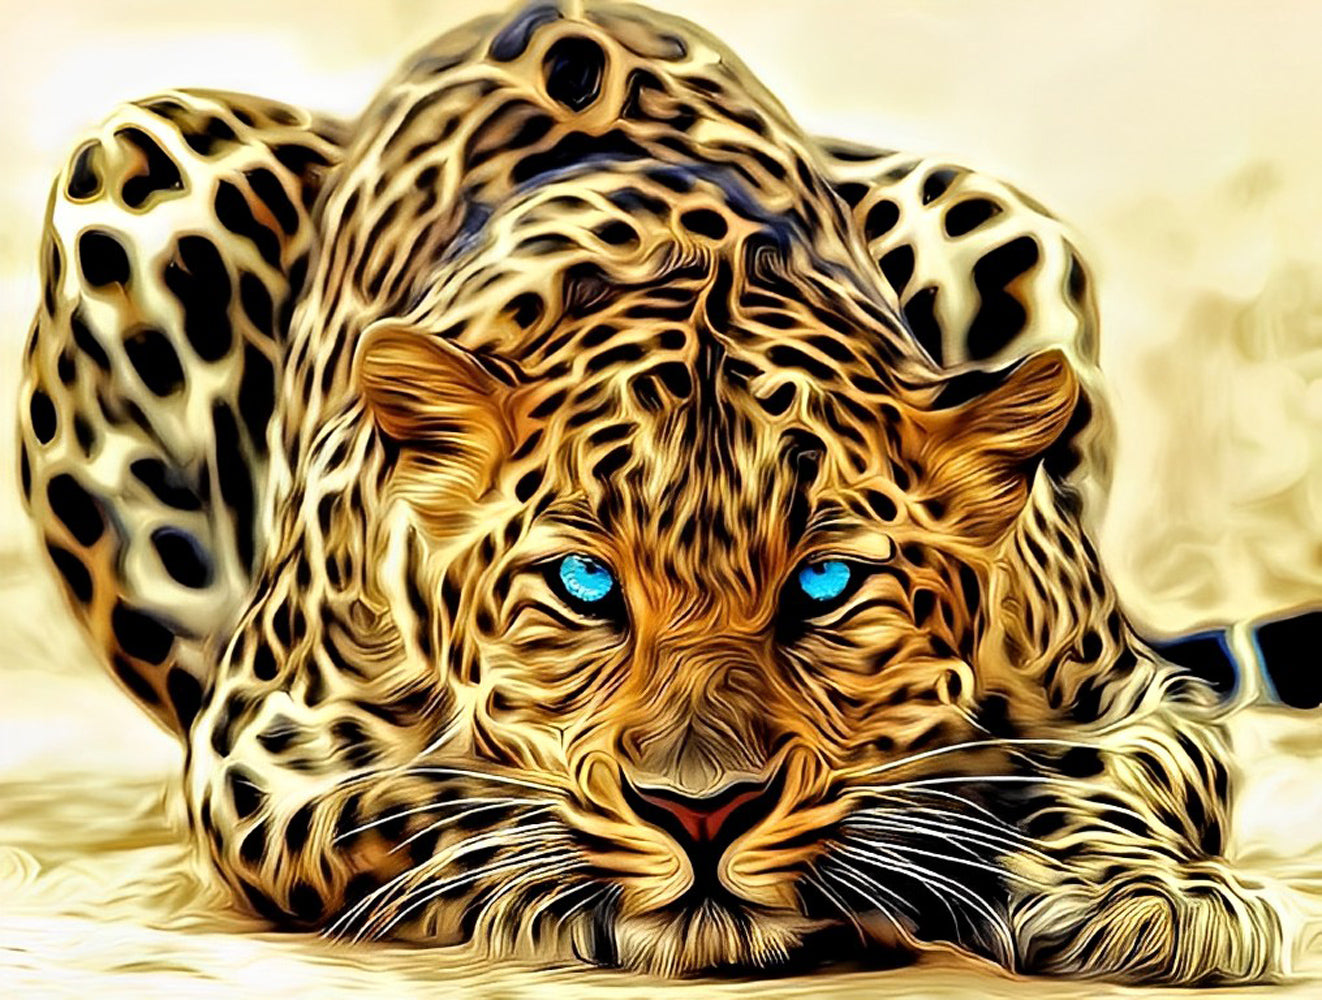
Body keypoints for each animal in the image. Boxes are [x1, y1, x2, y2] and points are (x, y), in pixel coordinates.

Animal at [16, 0, 1285, 984]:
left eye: (825, 583)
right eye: (583, 583)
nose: (703, 812)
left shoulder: (1131, 693)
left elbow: (1127, 774)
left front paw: (1146, 897)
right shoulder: (267, 747)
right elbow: (433, 806)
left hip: (993, 211)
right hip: (132, 159)